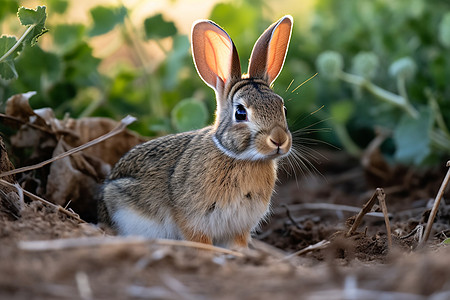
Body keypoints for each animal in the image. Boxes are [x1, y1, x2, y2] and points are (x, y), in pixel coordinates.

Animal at [97, 15, 296, 248]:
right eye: (240, 113)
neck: (241, 158)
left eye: (282, 108)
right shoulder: (193, 220)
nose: (279, 140)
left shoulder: (239, 227)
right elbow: (199, 241)